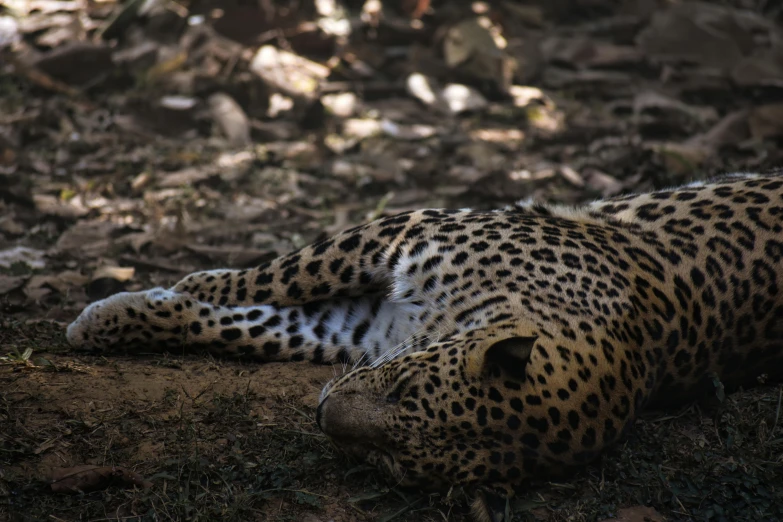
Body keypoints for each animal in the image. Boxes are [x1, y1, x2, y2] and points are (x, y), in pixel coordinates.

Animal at [67, 172, 783, 520]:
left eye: (396, 466)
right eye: (403, 389)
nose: (321, 417)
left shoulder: (356, 325)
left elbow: (249, 323)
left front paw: (124, 313)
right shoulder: (398, 230)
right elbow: (269, 278)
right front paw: (123, 312)